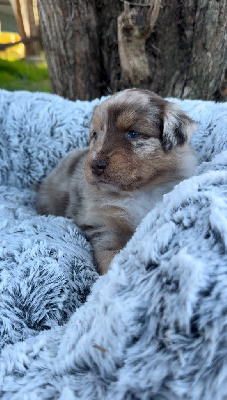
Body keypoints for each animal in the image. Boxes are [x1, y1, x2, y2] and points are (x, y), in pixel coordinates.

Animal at [36, 88, 197, 274]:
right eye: (95, 135)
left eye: (133, 133)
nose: (95, 165)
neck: (138, 191)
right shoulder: (104, 224)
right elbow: (110, 254)